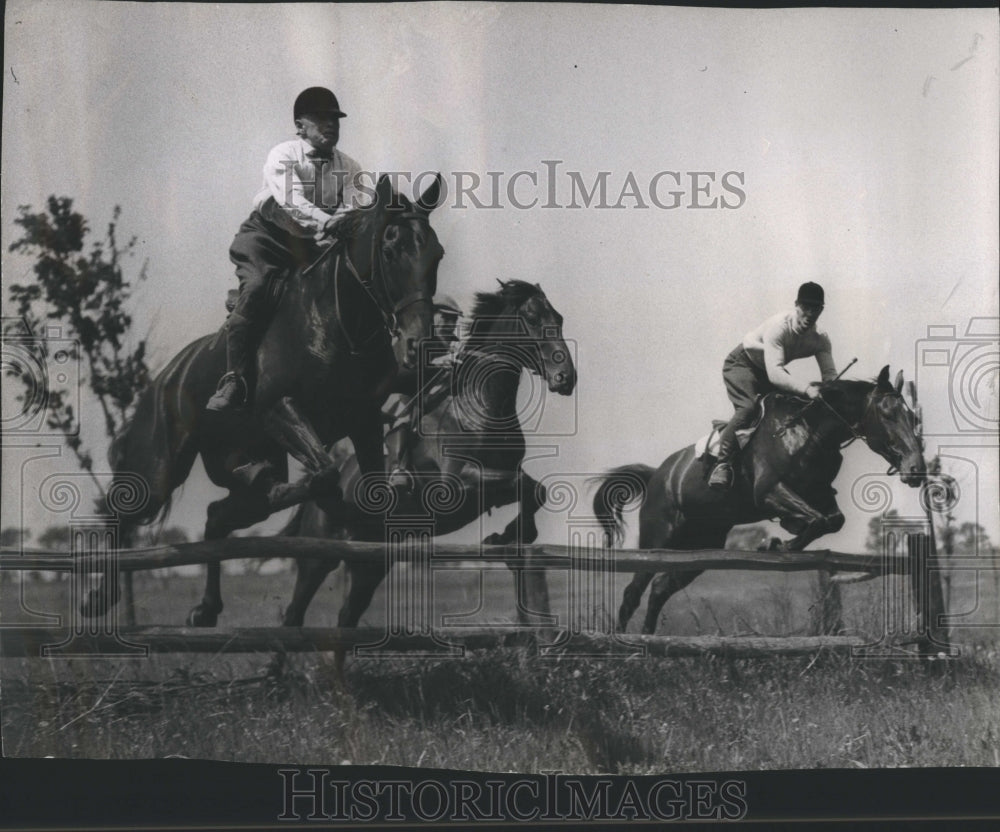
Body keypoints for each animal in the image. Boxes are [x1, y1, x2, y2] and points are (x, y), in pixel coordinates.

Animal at [86, 172, 446, 624]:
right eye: (390, 249)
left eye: (437, 255)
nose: (420, 345)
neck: (339, 323)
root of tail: (166, 376)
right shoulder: (279, 409)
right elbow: (327, 472)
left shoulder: (363, 419)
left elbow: (367, 491)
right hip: (160, 468)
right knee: (121, 508)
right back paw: (99, 596)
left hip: (236, 456)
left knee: (218, 516)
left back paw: (208, 604)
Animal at [280, 280, 580, 632]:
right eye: (532, 318)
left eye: (558, 318)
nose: (566, 378)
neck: (479, 406)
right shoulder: (458, 485)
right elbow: (522, 485)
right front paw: (503, 536)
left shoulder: (500, 477)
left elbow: (536, 489)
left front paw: (505, 536)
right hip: (319, 557)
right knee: (294, 612)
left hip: (372, 560)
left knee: (348, 614)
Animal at [588, 368, 924, 632]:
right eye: (887, 414)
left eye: (912, 416)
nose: (916, 469)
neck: (809, 432)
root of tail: (658, 473)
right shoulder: (769, 491)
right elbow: (817, 519)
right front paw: (779, 543)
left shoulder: (820, 494)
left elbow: (832, 519)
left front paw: (783, 540)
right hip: (657, 539)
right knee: (633, 592)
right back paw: (624, 641)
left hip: (702, 544)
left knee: (659, 588)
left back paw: (649, 636)